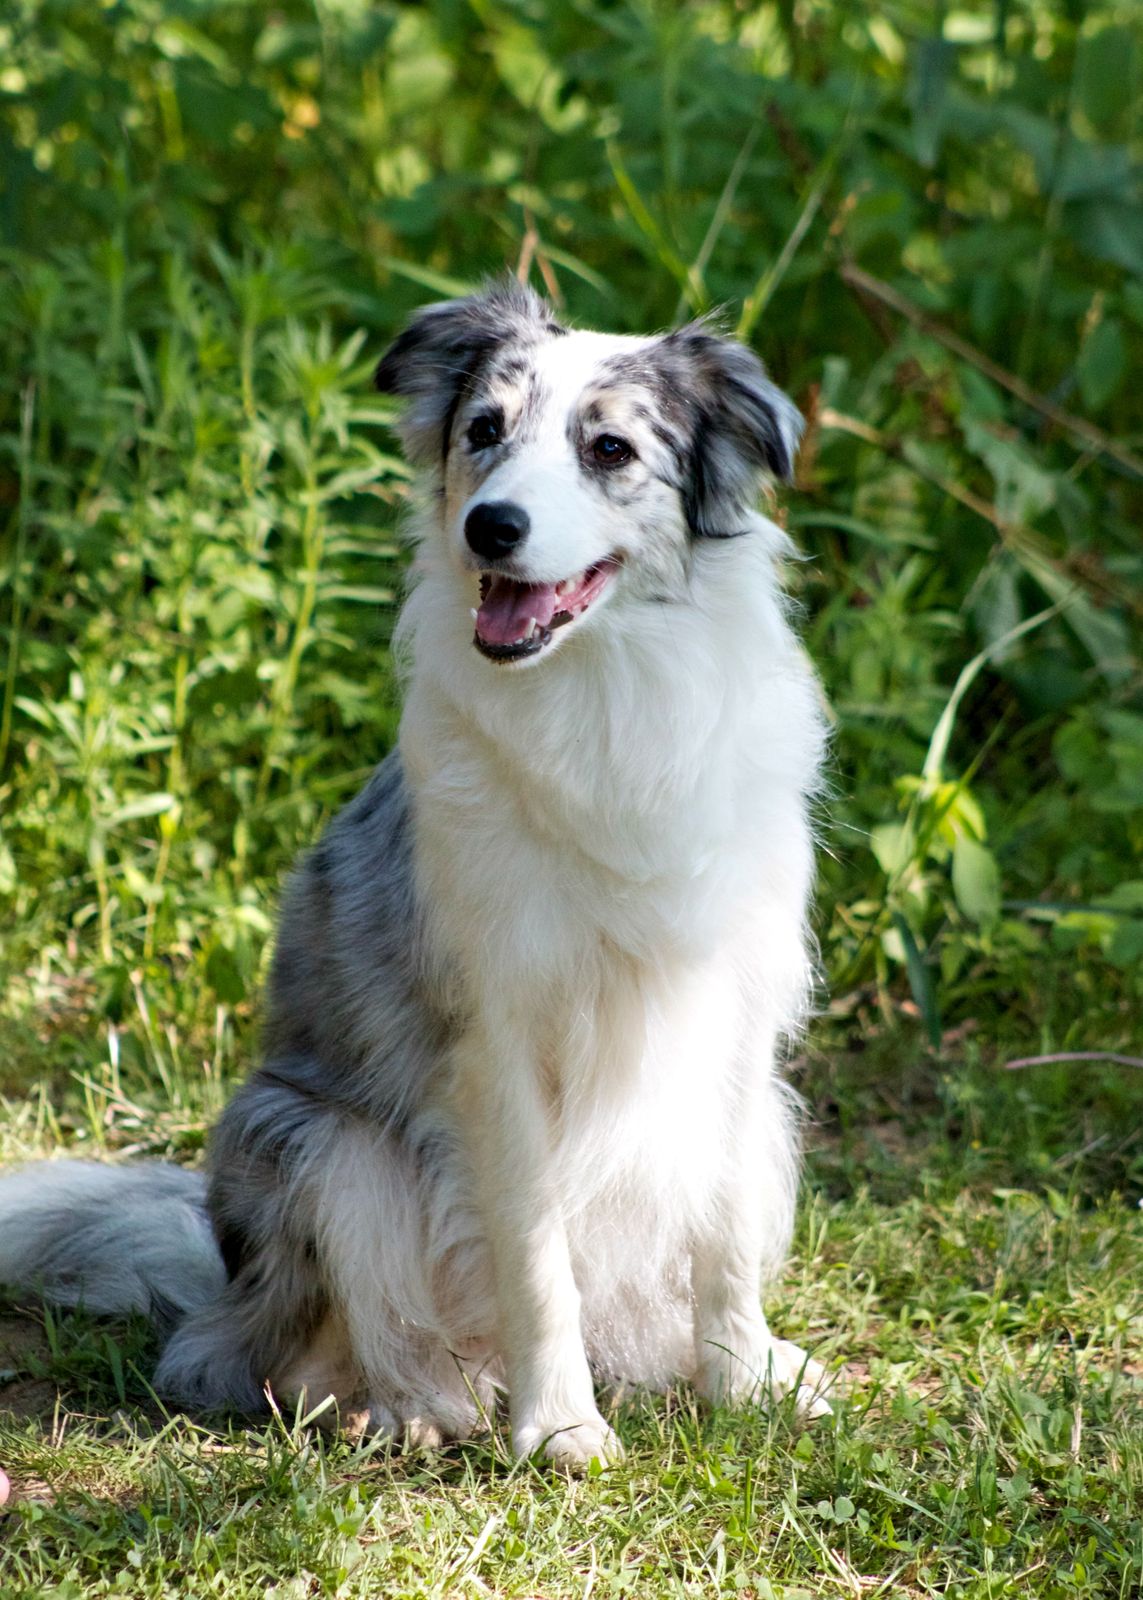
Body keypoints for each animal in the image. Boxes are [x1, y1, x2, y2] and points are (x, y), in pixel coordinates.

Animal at [0, 281, 826, 1465]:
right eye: (483, 430)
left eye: (609, 447)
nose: (493, 526)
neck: (611, 695)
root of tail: (219, 1286)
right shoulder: (495, 1038)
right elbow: (535, 1253)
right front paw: (559, 1426)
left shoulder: (733, 1010)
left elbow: (717, 1239)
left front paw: (741, 1379)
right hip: (311, 1142)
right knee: (273, 1357)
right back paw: (403, 1402)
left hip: (771, 1121)